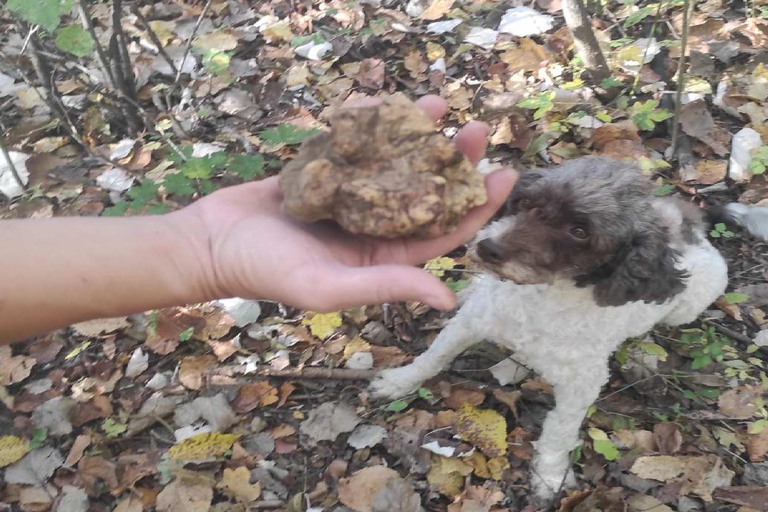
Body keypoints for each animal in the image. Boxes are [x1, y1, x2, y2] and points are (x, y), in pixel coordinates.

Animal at [368, 156, 752, 500]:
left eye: (579, 232)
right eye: (526, 202)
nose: (488, 248)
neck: (540, 300)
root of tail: (688, 226)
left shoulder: (582, 384)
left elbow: (560, 430)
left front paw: (550, 475)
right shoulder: (473, 321)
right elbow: (433, 356)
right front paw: (398, 382)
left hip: (684, 310)